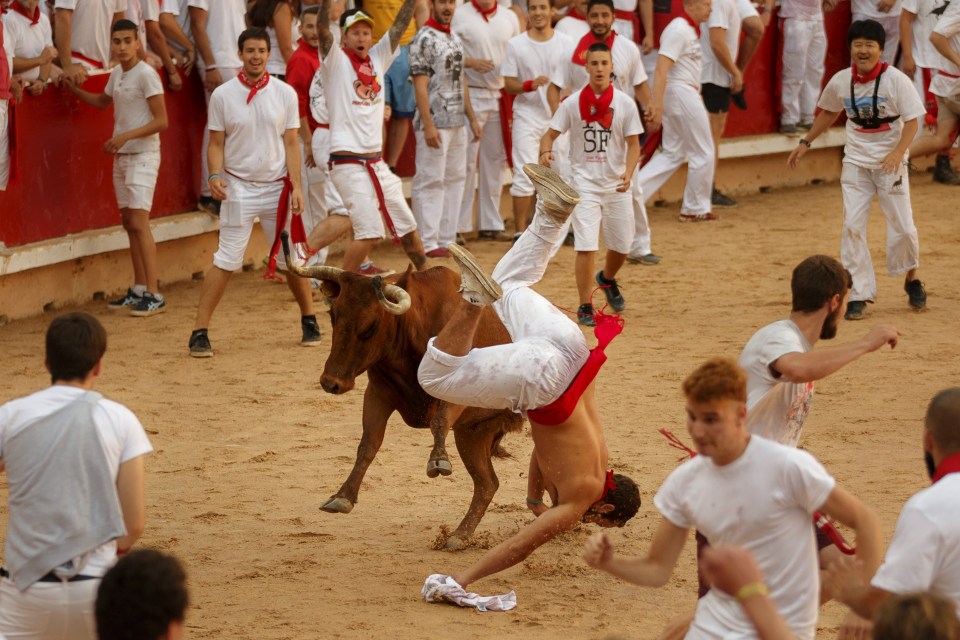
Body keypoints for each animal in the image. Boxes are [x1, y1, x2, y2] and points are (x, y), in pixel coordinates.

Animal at [284, 248, 524, 548]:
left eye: (371, 326)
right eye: (333, 314)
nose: (331, 383)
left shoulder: (456, 390)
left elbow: (438, 420)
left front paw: (438, 460)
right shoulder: (378, 392)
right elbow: (368, 443)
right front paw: (342, 496)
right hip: (472, 433)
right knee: (487, 483)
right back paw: (459, 536)